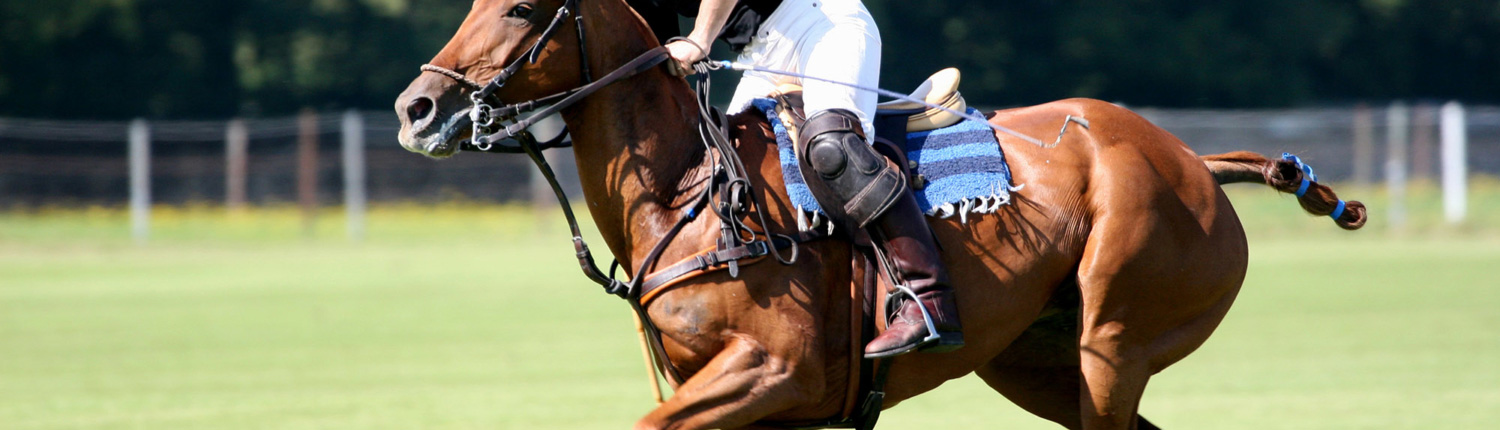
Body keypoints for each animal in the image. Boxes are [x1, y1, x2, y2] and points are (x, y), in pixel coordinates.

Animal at [393, 1, 1367, 428]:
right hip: (1035, 362)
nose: (416, 109)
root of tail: (1195, 161)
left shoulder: (775, 373)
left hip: (1115, 340)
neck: (685, 191)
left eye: (521, 5)